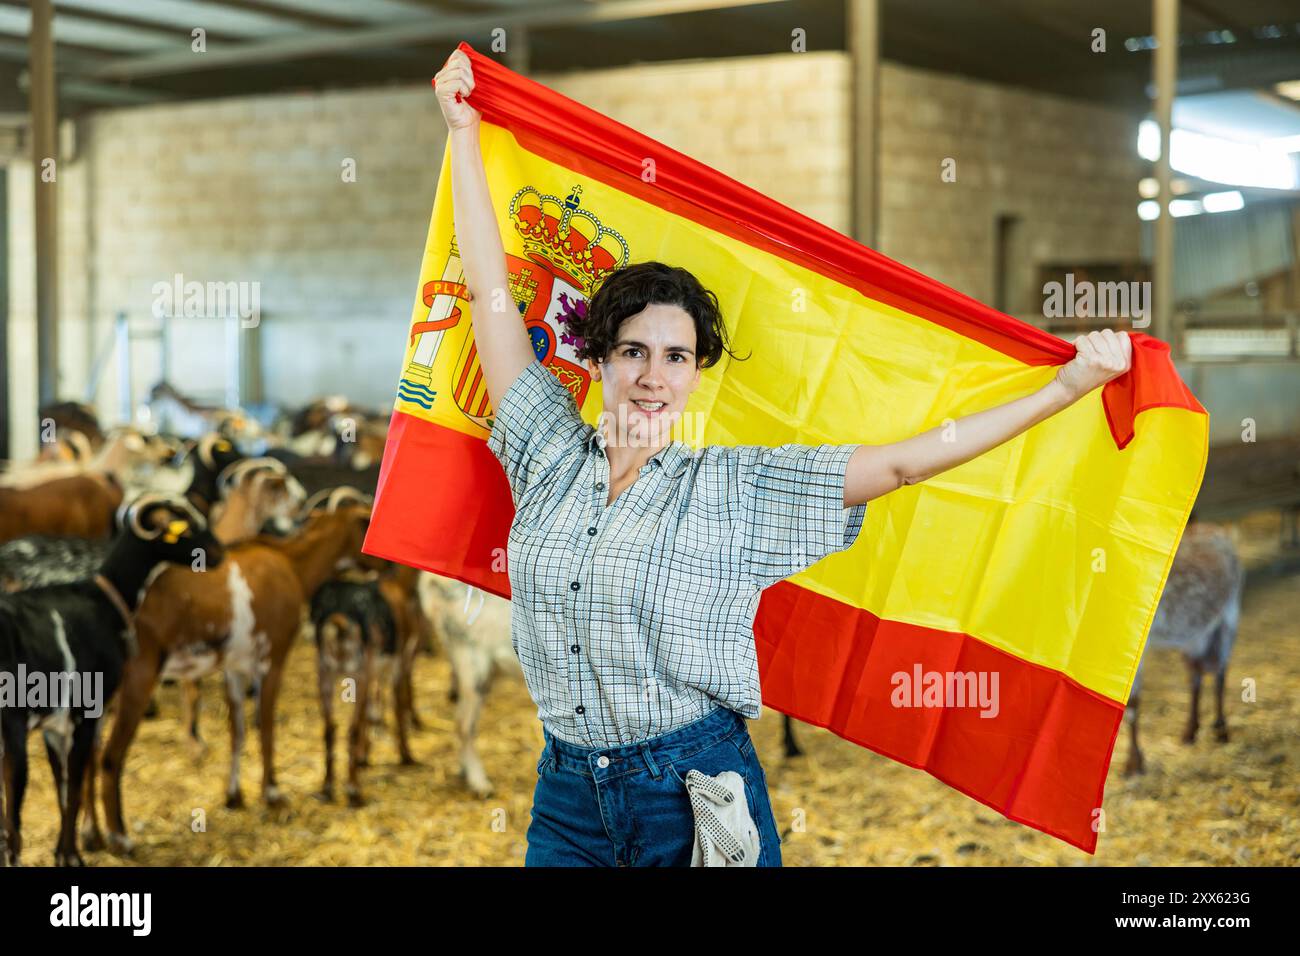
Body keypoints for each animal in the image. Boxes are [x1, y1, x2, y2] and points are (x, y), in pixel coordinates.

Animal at [1123, 522, 1242, 780]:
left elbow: (1132, 703)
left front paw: (1134, 764)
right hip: (1195, 633)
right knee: (1195, 673)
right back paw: (1191, 731)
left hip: (1229, 614)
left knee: (1220, 671)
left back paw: (1221, 730)